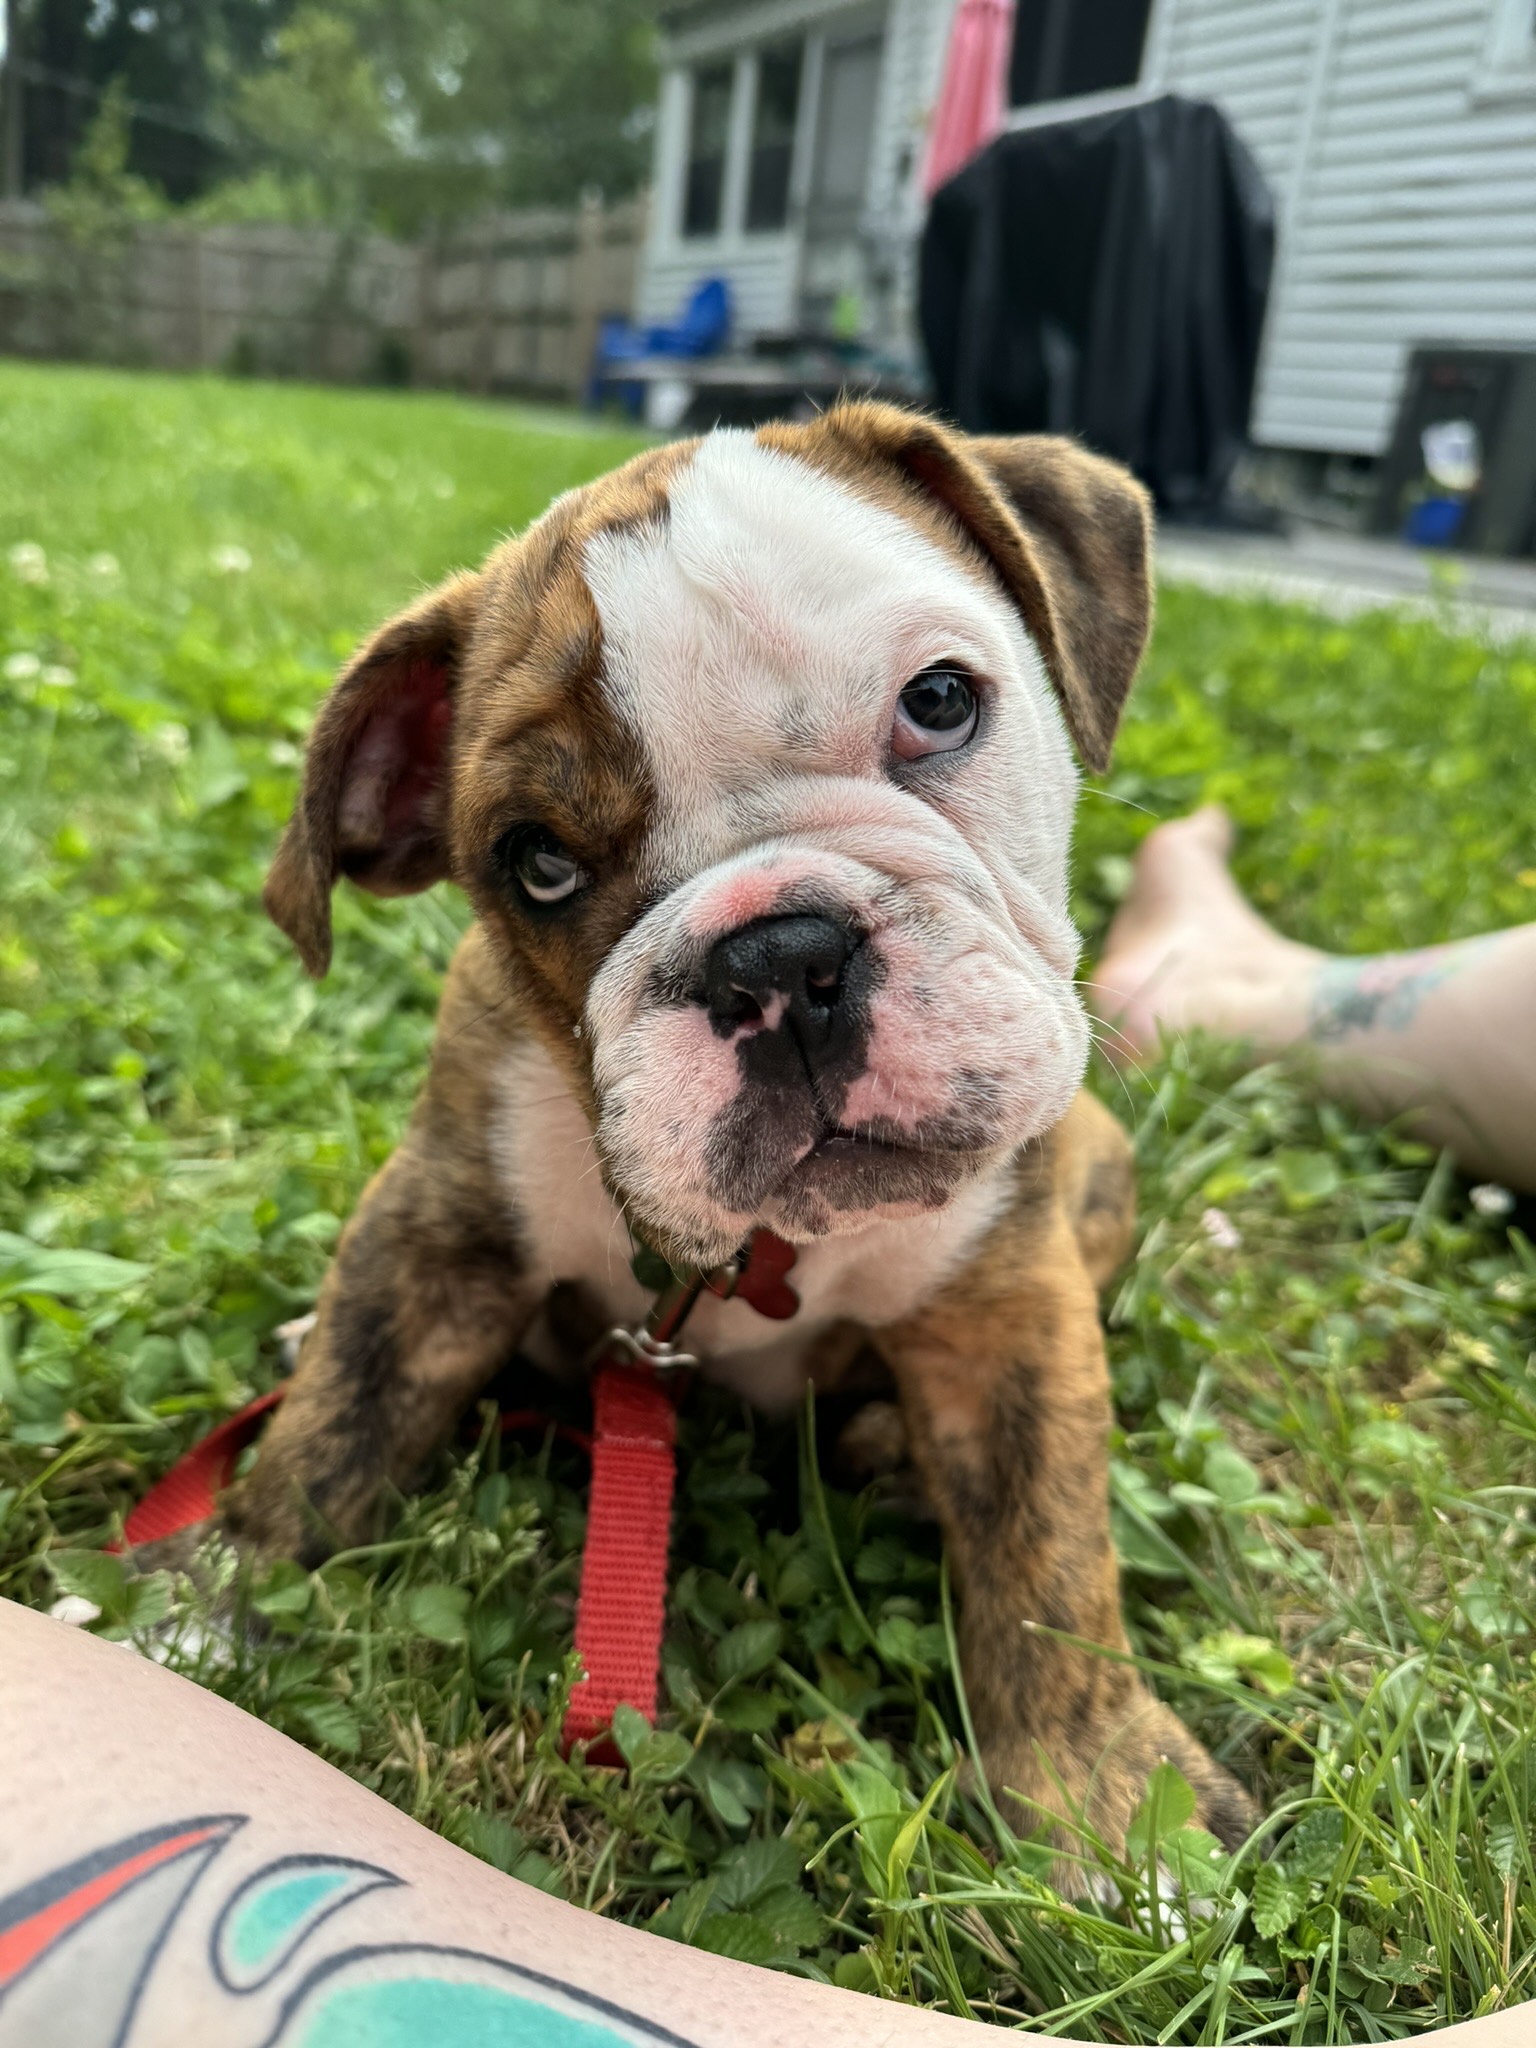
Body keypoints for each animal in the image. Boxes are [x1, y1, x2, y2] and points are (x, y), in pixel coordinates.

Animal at [234, 395, 1253, 1859]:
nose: (777, 959)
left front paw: (1105, 1796)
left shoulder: (1008, 1307)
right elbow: (335, 1429)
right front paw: (211, 1608)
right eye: (536, 863)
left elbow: (1046, 1550)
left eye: (941, 701)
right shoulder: (440, 1228)